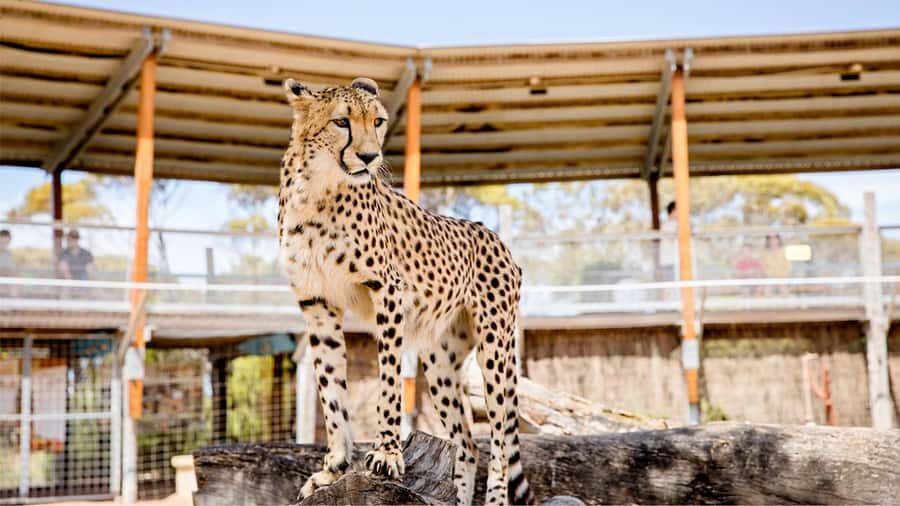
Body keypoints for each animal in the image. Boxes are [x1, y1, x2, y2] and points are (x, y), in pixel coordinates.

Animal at [277, 76, 533, 505]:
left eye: (378, 121)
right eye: (341, 122)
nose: (368, 157)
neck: (316, 188)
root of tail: (492, 233)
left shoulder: (388, 291)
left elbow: (389, 382)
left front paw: (386, 454)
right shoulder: (317, 302)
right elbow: (331, 391)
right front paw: (334, 468)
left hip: (495, 348)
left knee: (499, 440)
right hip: (440, 358)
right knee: (468, 443)